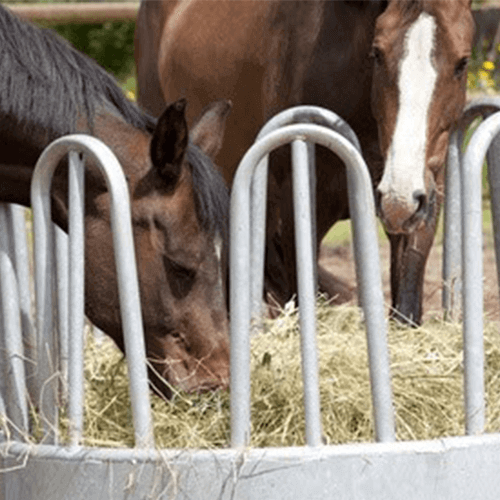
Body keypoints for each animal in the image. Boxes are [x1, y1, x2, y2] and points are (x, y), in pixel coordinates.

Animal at [136, 0, 472, 324]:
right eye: (377, 53)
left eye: (463, 62)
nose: (399, 198)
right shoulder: (297, 206)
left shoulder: (423, 191)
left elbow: (406, 301)